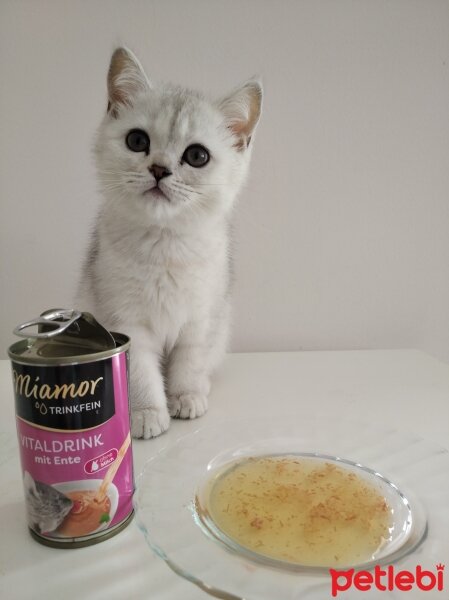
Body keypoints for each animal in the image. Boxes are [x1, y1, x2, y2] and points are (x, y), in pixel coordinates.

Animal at [75, 47, 260, 438]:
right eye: (137, 141)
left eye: (197, 156)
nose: (159, 169)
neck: (165, 245)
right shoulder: (127, 322)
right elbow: (141, 371)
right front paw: (147, 412)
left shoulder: (201, 319)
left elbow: (189, 361)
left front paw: (186, 397)